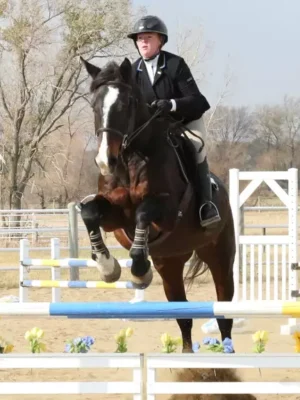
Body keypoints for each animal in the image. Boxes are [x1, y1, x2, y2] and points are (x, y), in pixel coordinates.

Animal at [79, 57, 237, 354]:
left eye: (126, 104)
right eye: (94, 105)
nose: (106, 161)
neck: (130, 158)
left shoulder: (166, 211)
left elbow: (143, 212)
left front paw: (140, 271)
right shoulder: (115, 216)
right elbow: (90, 212)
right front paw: (107, 266)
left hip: (220, 255)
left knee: (224, 313)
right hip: (170, 263)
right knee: (183, 317)